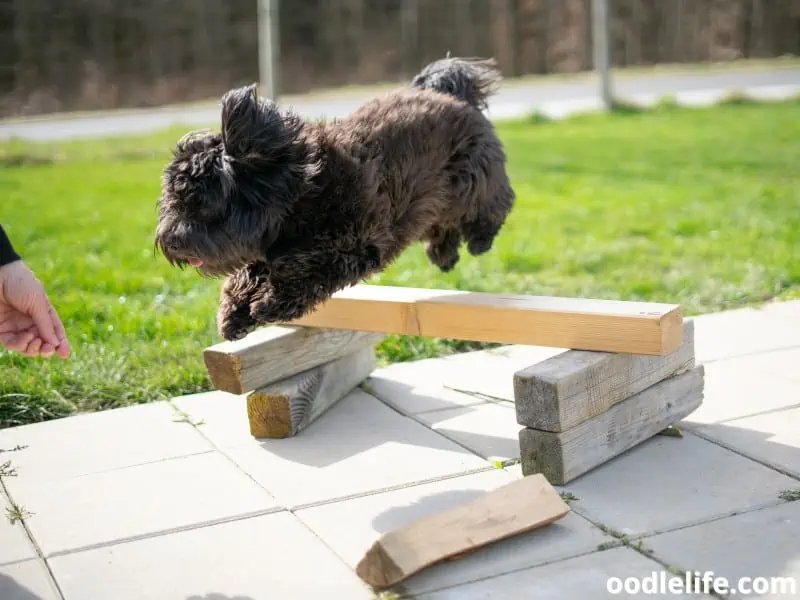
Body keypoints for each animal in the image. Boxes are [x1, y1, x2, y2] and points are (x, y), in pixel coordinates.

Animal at [156, 57, 516, 342]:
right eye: (172, 201)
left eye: (201, 203)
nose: (170, 241)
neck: (301, 196)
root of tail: (446, 91)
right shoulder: (265, 250)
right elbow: (243, 275)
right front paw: (233, 315)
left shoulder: (355, 248)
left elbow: (306, 271)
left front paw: (268, 303)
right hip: (429, 204)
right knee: (443, 228)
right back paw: (444, 256)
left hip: (471, 184)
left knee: (494, 205)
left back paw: (479, 241)